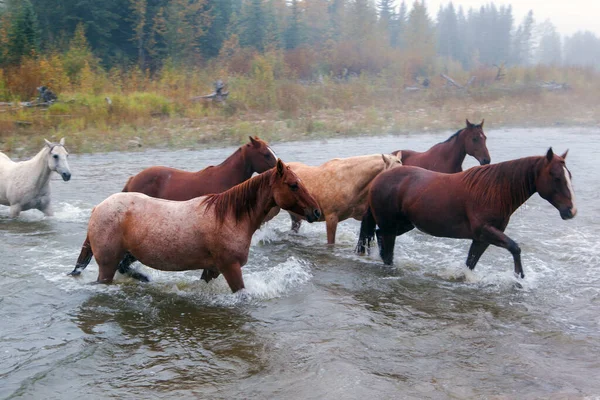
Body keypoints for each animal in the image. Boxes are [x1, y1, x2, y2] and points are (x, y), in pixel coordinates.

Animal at [68, 159, 322, 294]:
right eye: (293, 185)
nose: (317, 211)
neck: (230, 217)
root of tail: (98, 208)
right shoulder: (230, 267)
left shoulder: (212, 269)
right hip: (107, 265)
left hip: (128, 254)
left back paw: (144, 279)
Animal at [356, 148, 576, 278]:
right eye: (556, 177)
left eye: (569, 176)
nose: (571, 211)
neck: (493, 190)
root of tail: (380, 178)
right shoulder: (486, 231)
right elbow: (515, 248)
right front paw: (519, 280)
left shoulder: (482, 238)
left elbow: (471, 262)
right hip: (391, 225)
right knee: (385, 246)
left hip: (403, 224)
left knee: (379, 236)